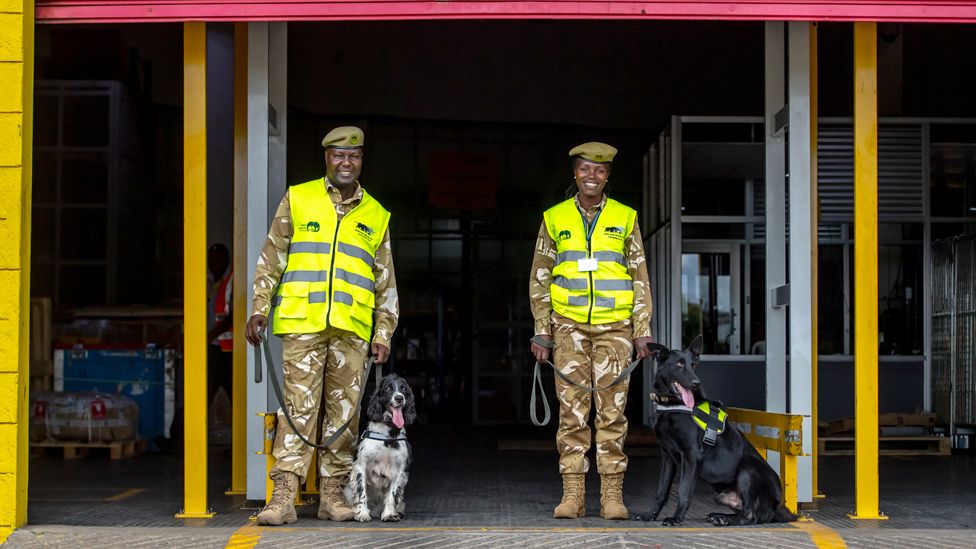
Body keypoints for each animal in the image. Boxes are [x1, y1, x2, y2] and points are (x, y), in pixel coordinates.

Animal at [636, 336, 796, 524]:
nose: (696, 383)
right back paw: (720, 517)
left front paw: (676, 518)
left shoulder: (691, 455)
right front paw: (650, 515)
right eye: (679, 364)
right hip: (721, 496)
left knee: (750, 515)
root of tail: (778, 505)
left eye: (693, 365)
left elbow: (684, 490)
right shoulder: (667, 456)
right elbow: (661, 491)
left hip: (748, 468)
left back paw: (724, 519)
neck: (673, 406)